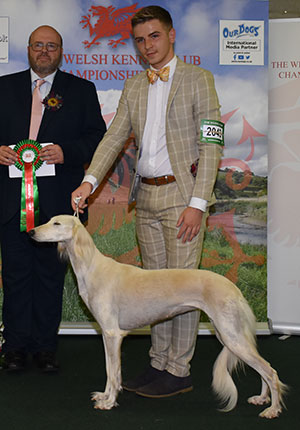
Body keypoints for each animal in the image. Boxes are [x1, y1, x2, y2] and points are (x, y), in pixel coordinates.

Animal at [29, 217, 286, 418]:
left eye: (56, 223)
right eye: (49, 220)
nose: (31, 232)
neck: (92, 267)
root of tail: (234, 287)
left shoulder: (113, 335)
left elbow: (113, 373)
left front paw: (109, 402)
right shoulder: (107, 335)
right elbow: (112, 371)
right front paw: (104, 396)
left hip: (231, 336)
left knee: (270, 371)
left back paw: (272, 409)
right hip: (228, 335)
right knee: (263, 369)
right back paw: (262, 399)